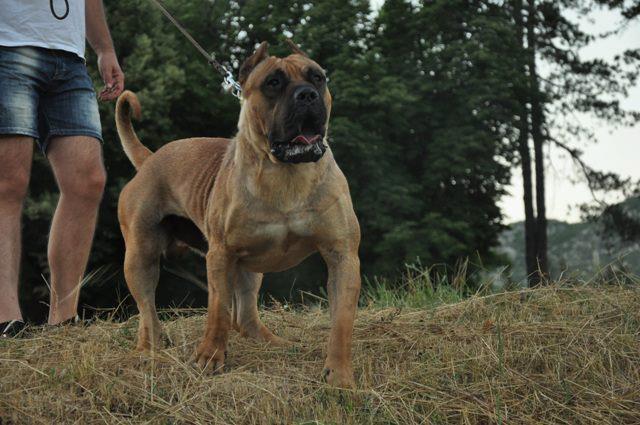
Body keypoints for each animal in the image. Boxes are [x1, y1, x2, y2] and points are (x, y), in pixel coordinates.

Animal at [115, 41, 362, 386]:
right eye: (273, 82)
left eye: (318, 77)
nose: (307, 95)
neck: (287, 174)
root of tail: (150, 159)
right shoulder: (221, 255)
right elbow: (218, 311)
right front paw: (209, 358)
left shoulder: (342, 256)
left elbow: (341, 321)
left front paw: (339, 376)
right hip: (141, 257)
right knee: (148, 308)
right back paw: (150, 348)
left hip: (250, 268)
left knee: (245, 317)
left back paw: (273, 342)